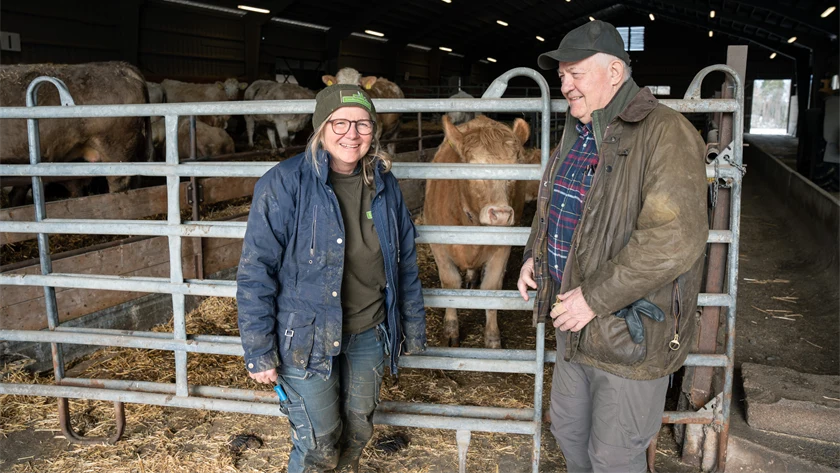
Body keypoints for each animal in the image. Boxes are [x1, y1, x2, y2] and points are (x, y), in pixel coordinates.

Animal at [424, 114, 528, 346]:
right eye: (474, 167)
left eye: (515, 169)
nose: (501, 214)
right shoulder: (437, 245)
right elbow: (450, 283)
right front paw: (451, 330)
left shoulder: (503, 248)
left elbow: (491, 288)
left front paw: (492, 337)